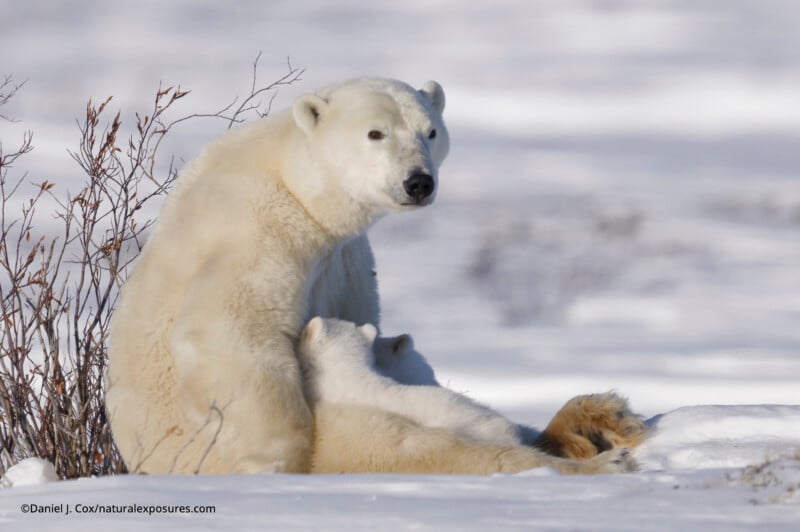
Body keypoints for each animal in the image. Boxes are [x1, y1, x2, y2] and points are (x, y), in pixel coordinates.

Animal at [105, 76, 642, 475]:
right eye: (375, 134)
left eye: (430, 131)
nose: (418, 182)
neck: (296, 183)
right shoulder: (254, 231)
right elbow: (227, 331)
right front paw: (278, 461)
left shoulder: (346, 257)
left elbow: (363, 324)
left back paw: (599, 416)